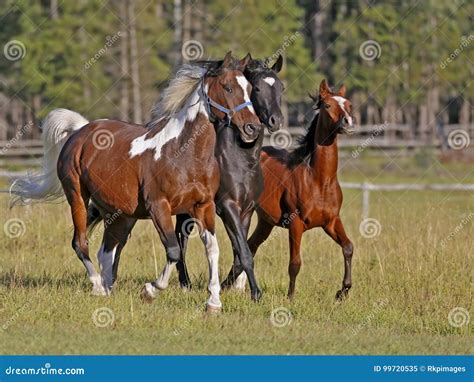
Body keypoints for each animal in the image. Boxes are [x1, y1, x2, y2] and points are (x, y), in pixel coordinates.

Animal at [174, 53, 284, 300]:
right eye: (258, 88)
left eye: (281, 88)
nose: (276, 121)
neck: (242, 161)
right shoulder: (228, 207)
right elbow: (244, 251)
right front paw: (254, 293)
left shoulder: (247, 209)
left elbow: (241, 251)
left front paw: (230, 286)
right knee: (180, 237)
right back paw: (184, 283)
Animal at [226, 80, 356, 300]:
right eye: (328, 105)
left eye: (348, 105)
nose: (348, 122)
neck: (319, 181)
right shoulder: (296, 224)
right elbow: (295, 263)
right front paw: (290, 297)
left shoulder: (331, 222)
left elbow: (348, 247)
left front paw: (343, 291)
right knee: (242, 247)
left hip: (266, 222)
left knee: (250, 246)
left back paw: (232, 285)